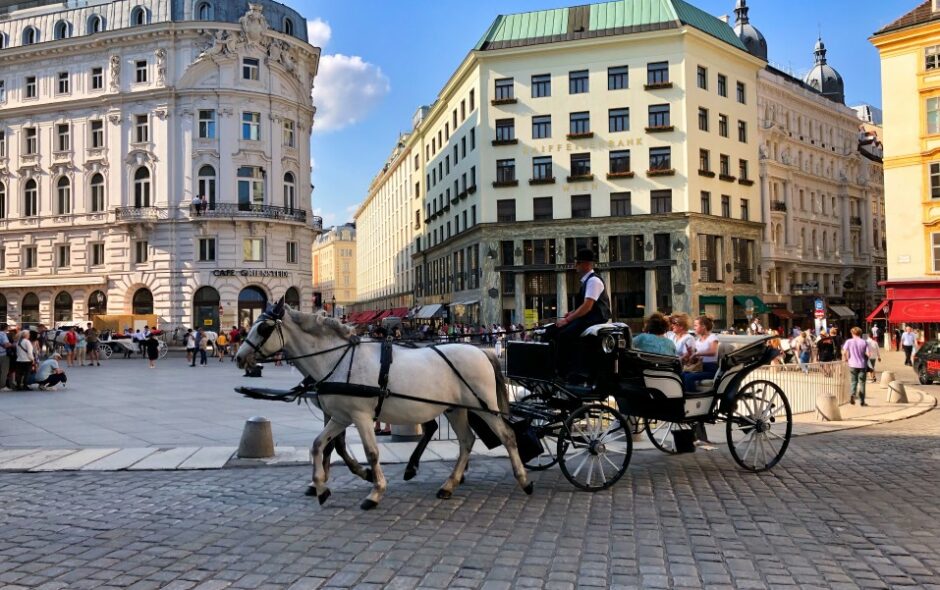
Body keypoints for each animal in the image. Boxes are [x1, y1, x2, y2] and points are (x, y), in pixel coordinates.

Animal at [235, 302, 532, 512]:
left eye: (263, 329)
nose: (239, 357)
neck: (338, 359)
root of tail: (482, 350)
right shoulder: (340, 417)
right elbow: (320, 445)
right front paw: (320, 487)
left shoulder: (361, 416)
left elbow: (371, 452)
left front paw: (375, 490)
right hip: (455, 408)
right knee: (466, 441)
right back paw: (449, 484)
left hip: (484, 407)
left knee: (507, 436)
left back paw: (524, 480)